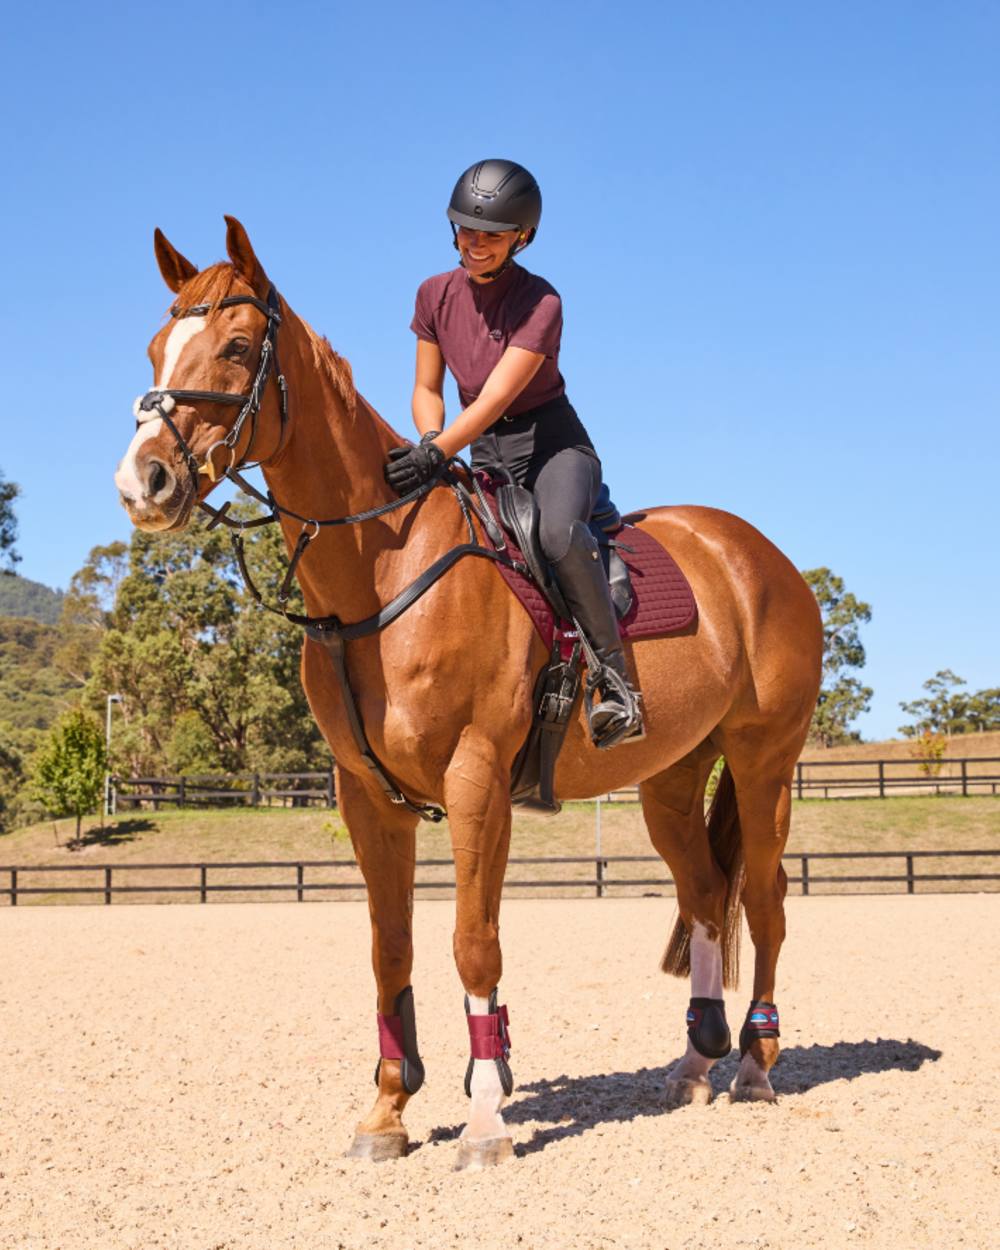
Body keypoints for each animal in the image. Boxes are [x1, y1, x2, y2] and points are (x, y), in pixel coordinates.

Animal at [115, 217, 823, 1169]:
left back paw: (752, 1063)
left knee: (764, 898)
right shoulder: (367, 796)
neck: (383, 572)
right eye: (157, 350)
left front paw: (486, 1119)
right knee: (708, 895)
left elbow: (473, 945)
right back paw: (693, 1064)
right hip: (672, 778)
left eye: (232, 347)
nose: (142, 482)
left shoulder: (476, 778)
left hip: (762, 761)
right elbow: (392, 950)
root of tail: (759, 555)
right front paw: (387, 1111)